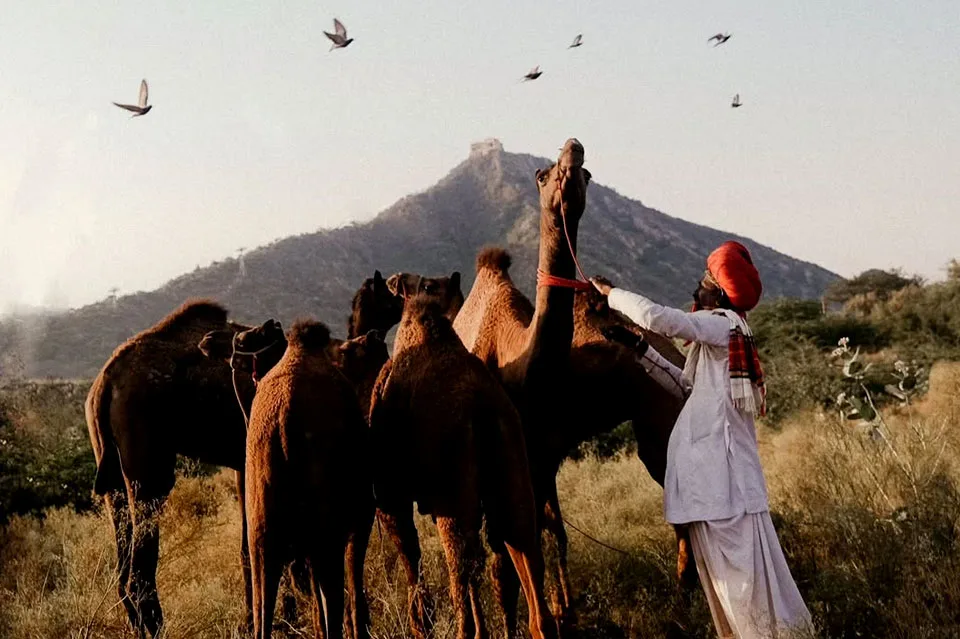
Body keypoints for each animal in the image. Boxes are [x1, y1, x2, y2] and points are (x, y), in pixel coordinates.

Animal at [246, 320, 371, 639]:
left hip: (260, 528)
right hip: (326, 526)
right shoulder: (359, 517)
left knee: (263, 600)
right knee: (332, 592)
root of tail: (284, 416)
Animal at [369, 291, 557, 639]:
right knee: (522, 542)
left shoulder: (392, 498)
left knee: (462, 562)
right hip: (510, 466)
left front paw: (421, 624)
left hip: (451, 489)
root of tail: (482, 407)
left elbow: (411, 553)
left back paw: (464, 631)